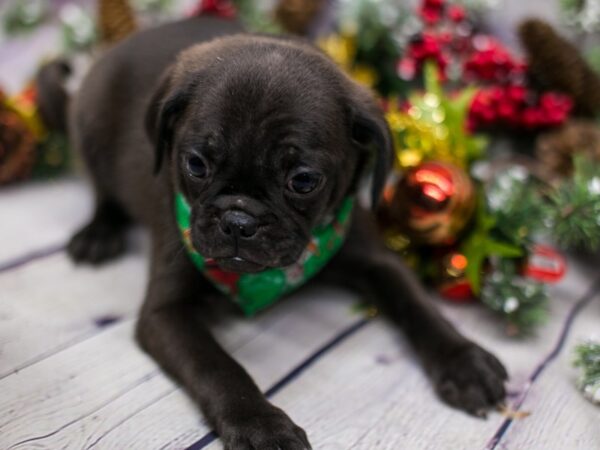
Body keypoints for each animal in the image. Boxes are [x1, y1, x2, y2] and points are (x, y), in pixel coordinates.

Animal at [58, 14, 506, 450]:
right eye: (196, 164)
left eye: (303, 181)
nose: (239, 221)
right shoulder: (166, 313)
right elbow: (217, 366)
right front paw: (261, 426)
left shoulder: (379, 262)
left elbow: (417, 304)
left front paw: (464, 361)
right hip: (89, 126)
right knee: (103, 192)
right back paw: (97, 234)